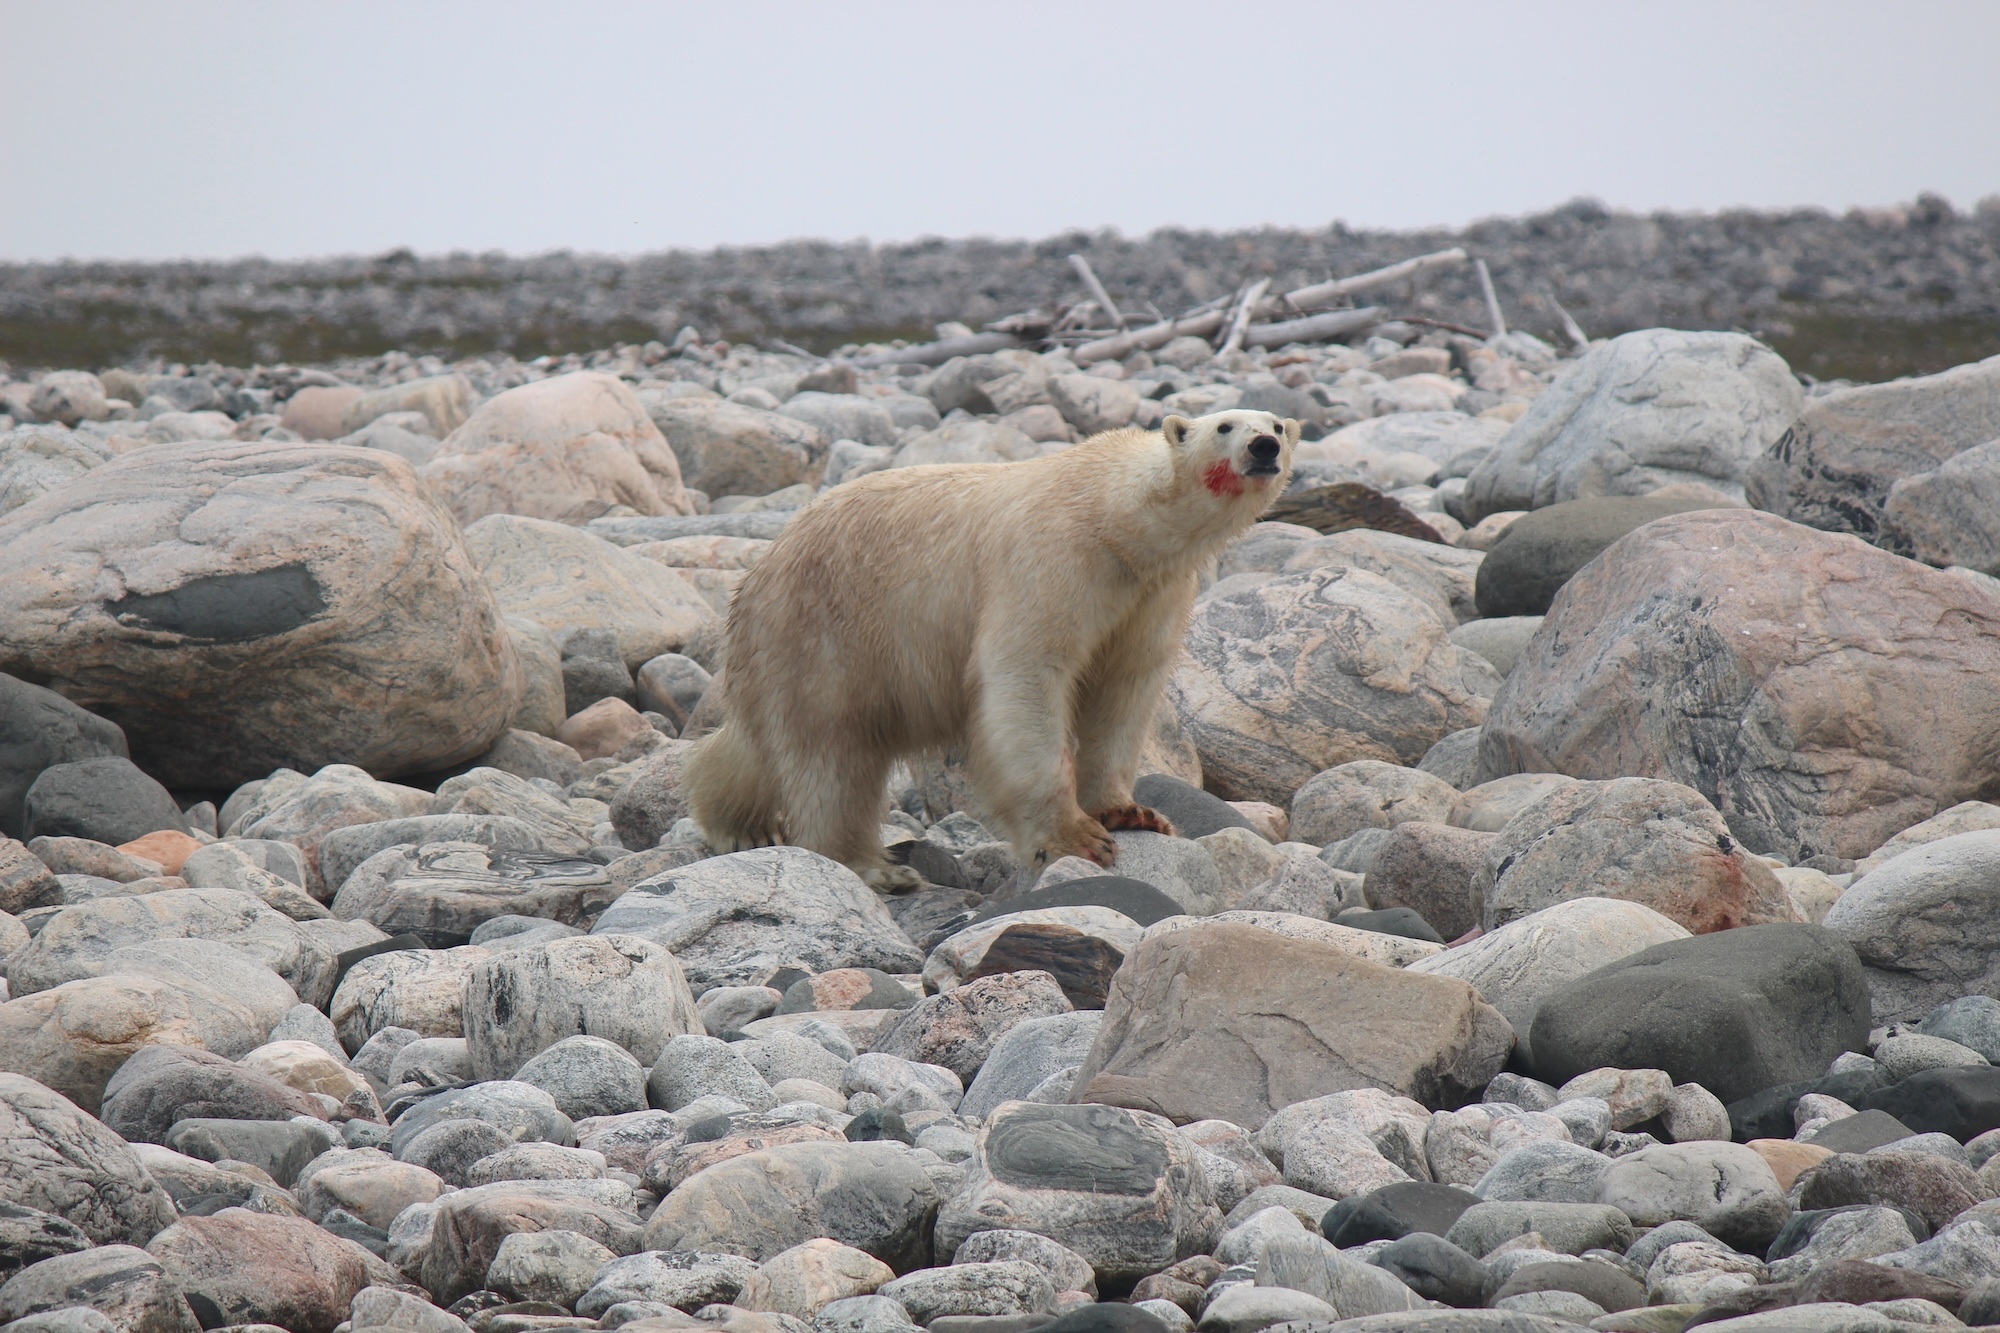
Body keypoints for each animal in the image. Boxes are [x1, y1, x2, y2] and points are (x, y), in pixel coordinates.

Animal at [684, 408, 1300, 888]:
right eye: (1224, 425)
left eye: (1275, 424)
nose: (1264, 446)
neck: (1112, 512)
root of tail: (759, 571)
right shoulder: (1051, 560)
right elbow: (1028, 675)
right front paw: (1073, 837)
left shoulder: (1153, 593)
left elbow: (1125, 689)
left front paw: (1130, 813)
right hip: (824, 631)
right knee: (830, 754)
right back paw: (873, 866)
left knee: (764, 748)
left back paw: (741, 821)